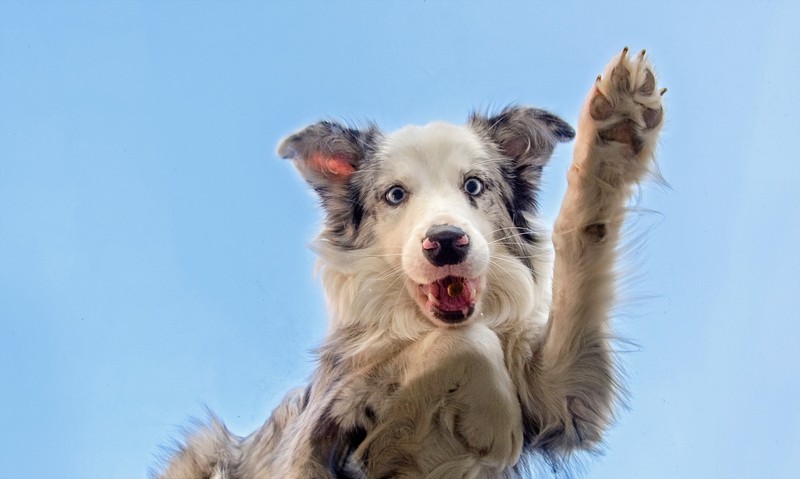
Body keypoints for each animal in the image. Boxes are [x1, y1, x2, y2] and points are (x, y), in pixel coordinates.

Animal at [156, 49, 664, 479]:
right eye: (396, 194)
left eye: (474, 185)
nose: (446, 243)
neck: (418, 323)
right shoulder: (304, 442)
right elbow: (461, 343)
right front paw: (488, 421)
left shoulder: (561, 399)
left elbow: (581, 249)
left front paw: (617, 128)